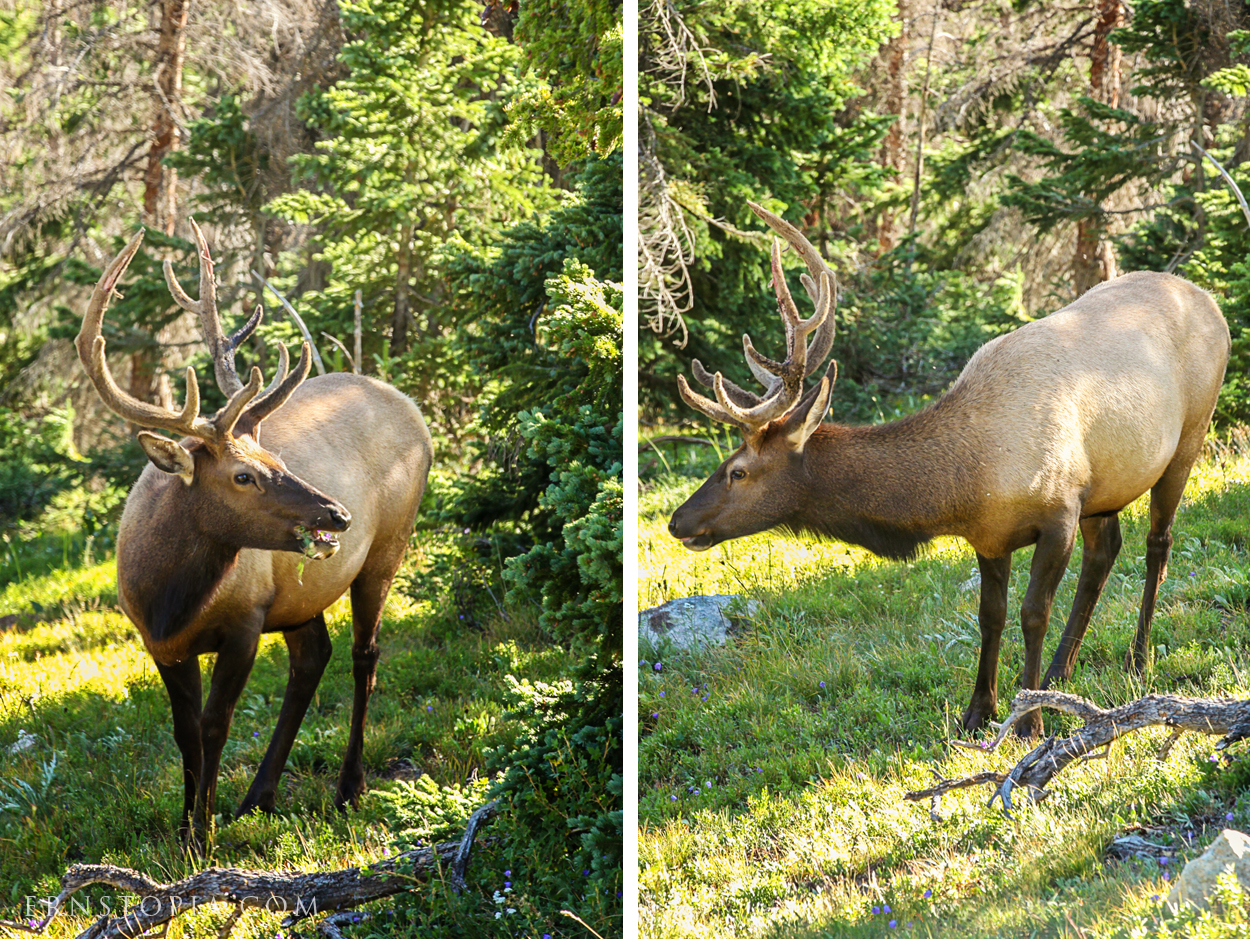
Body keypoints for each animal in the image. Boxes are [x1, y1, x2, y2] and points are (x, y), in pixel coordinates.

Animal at [76, 226, 435, 835]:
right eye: (243, 474)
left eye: (276, 457)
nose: (338, 515)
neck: (170, 597)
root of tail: (411, 406)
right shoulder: (159, 644)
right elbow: (185, 733)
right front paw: (184, 828)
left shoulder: (245, 621)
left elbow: (215, 726)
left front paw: (203, 832)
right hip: (299, 596)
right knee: (313, 656)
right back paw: (258, 797)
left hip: (389, 547)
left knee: (365, 654)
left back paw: (349, 786)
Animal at [675, 202, 1230, 740]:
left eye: (738, 471)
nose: (677, 521)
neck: (966, 483)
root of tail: (1208, 299)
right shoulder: (992, 534)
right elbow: (990, 616)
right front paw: (977, 711)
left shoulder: (1059, 512)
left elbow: (1033, 613)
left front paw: (1028, 720)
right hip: (1108, 485)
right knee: (1106, 552)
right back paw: (1061, 673)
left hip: (1188, 437)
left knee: (1158, 542)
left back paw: (1137, 659)